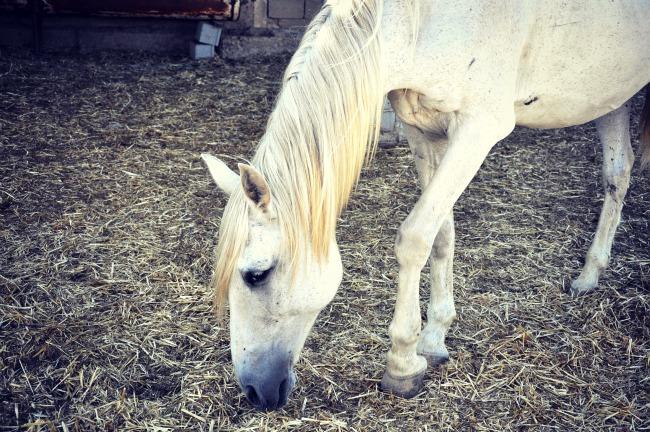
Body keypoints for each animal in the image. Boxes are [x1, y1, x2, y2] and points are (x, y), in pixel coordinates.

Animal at [200, 0, 650, 411]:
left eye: (255, 275)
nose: (255, 391)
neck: (429, 21)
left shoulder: (477, 130)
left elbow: (415, 237)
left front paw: (402, 363)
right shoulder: (423, 132)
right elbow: (441, 236)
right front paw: (434, 340)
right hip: (612, 96)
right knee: (618, 174)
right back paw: (589, 276)